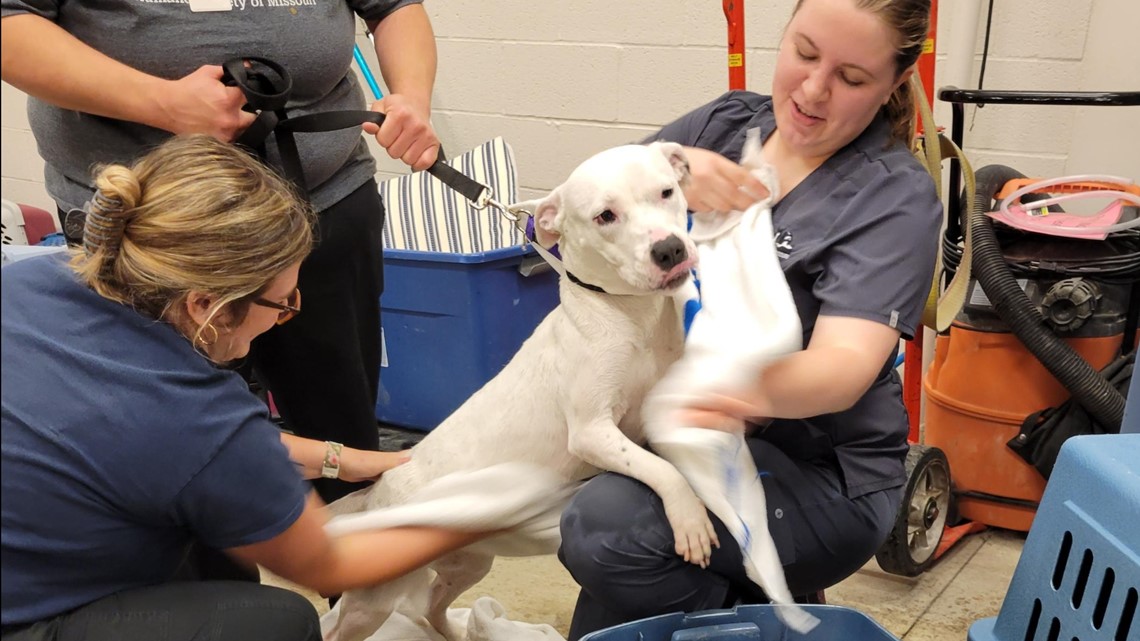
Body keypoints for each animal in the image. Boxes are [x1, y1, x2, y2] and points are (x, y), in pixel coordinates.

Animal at [321, 142, 715, 634]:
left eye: (666, 192)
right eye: (605, 216)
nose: (670, 248)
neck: (631, 315)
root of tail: (376, 495)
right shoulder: (592, 431)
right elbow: (662, 471)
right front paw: (690, 519)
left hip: (469, 564)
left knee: (431, 605)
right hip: (372, 602)